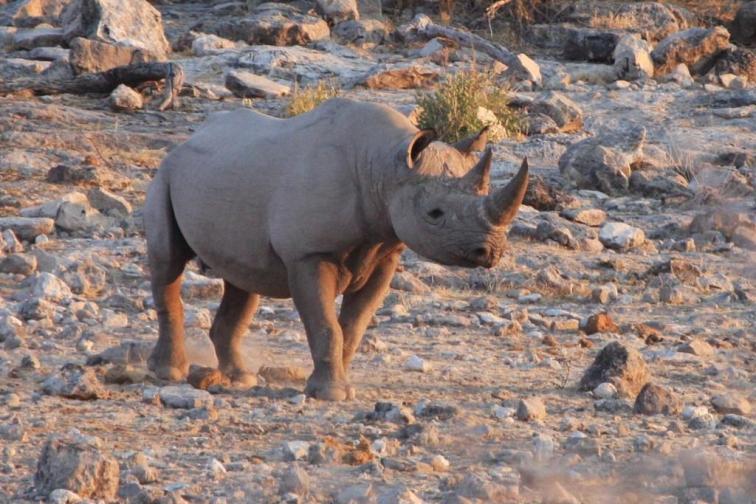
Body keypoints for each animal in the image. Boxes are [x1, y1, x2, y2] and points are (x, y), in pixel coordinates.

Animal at [144, 98, 528, 400]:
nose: (489, 252)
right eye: (434, 214)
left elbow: (353, 326)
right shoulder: (309, 253)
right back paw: (169, 373)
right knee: (168, 263)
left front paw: (335, 384)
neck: (384, 168)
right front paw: (330, 393)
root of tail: (191, 137)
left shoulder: (385, 250)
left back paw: (240, 379)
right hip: (166, 173)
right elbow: (327, 325)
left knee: (242, 280)